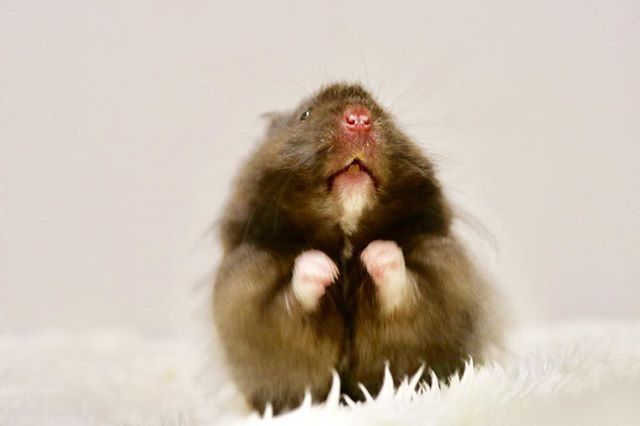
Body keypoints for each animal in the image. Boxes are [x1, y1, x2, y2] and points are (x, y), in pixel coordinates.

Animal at [213, 83, 501, 413]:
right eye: (305, 115)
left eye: (385, 114)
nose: (359, 118)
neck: (346, 232)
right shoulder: (251, 302)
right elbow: (292, 299)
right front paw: (322, 265)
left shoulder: (442, 286)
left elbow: (404, 290)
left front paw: (377, 252)